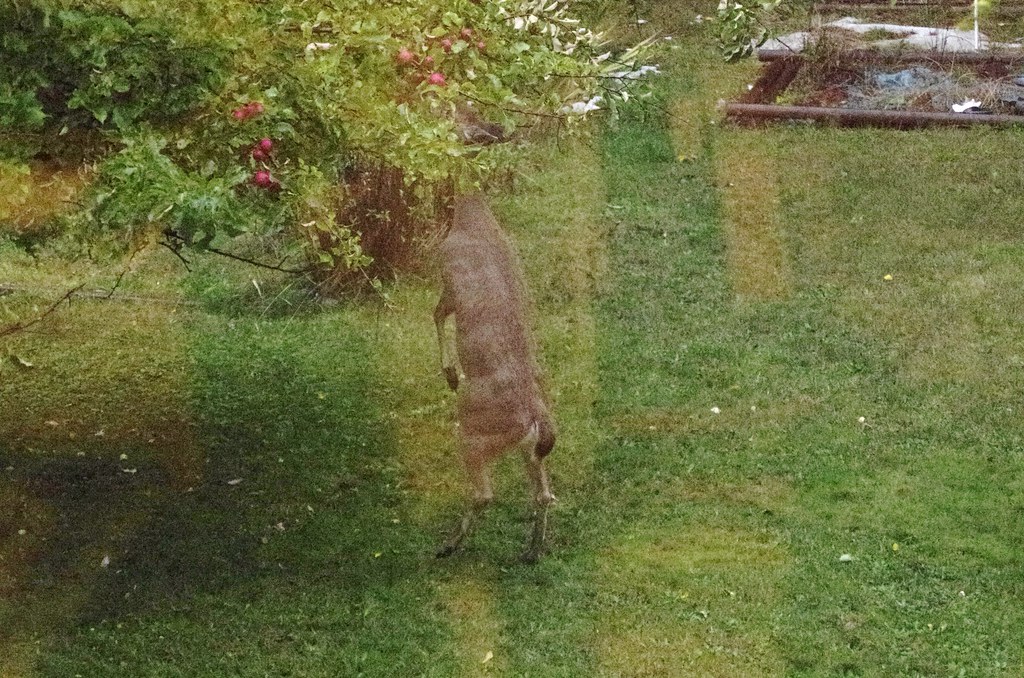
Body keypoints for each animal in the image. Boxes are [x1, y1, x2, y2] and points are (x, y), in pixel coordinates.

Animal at [433, 193, 556, 563]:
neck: (473, 217)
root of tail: (535, 418)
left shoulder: (449, 274)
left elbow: (436, 313)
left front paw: (451, 375)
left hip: (474, 435)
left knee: (485, 493)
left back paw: (448, 545)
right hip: (528, 449)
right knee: (544, 494)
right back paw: (531, 552)